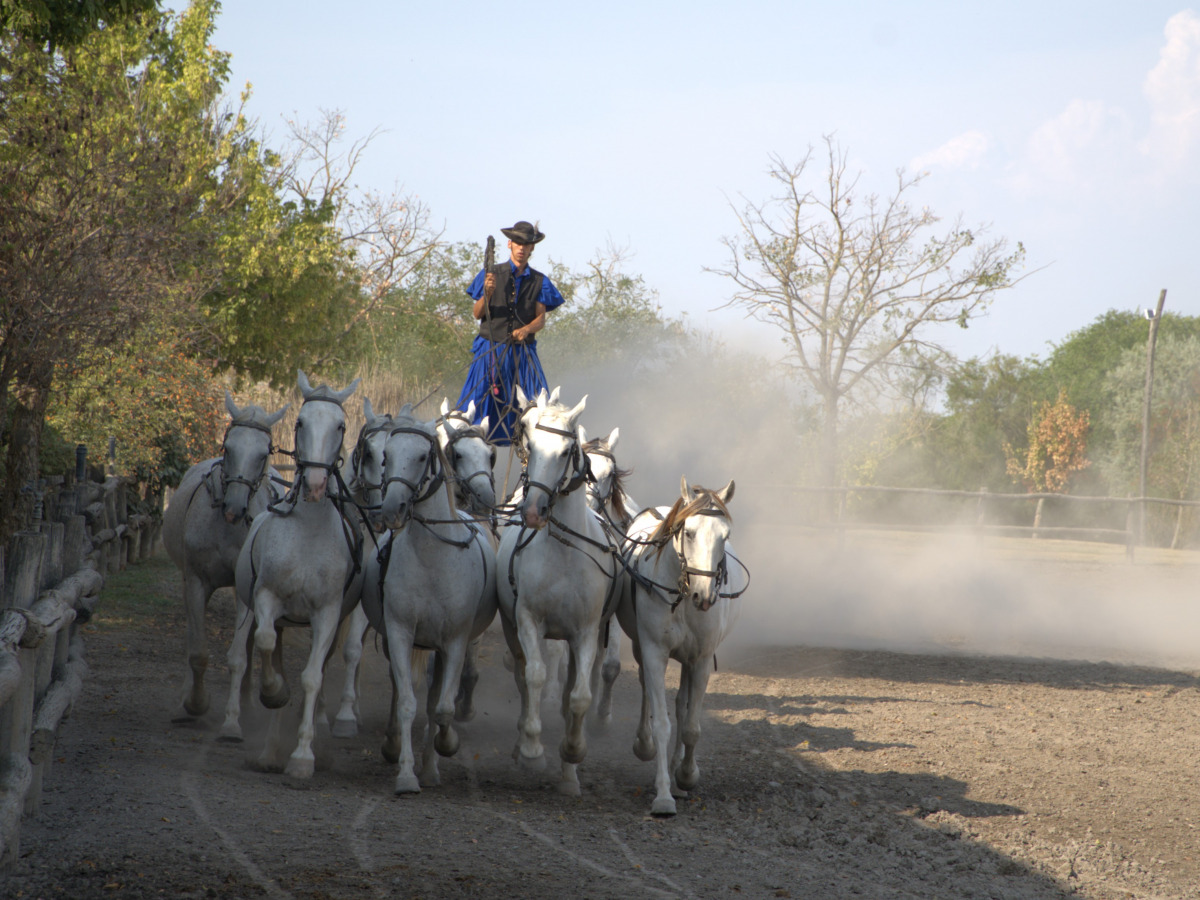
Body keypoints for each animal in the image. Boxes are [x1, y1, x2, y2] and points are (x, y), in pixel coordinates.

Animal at [163, 393, 286, 724]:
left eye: (263, 454)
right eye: (228, 447)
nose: (234, 508)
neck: (225, 527)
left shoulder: (248, 592)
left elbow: (239, 656)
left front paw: (232, 720)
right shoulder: (195, 582)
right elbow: (198, 651)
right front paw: (194, 702)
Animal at [232, 369, 360, 777]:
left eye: (340, 425)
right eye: (300, 422)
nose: (317, 485)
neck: (308, 533)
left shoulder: (328, 614)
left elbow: (312, 678)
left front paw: (303, 756)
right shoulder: (268, 599)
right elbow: (268, 646)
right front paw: (273, 694)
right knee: (273, 652)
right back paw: (269, 748)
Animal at [360, 408, 501, 796]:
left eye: (423, 456)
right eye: (385, 455)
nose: (390, 509)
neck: (432, 558)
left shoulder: (454, 641)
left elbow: (442, 709)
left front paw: (444, 747)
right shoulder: (399, 633)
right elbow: (408, 703)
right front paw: (405, 773)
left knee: (437, 697)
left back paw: (432, 766)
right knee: (403, 691)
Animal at [494, 388, 619, 796]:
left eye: (566, 451)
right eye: (531, 443)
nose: (533, 511)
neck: (564, 552)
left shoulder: (586, 632)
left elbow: (578, 697)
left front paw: (573, 754)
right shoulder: (528, 620)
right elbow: (534, 676)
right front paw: (533, 749)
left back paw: (568, 775)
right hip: (511, 628)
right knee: (523, 676)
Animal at [614, 480, 744, 816]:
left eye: (725, 536)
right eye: (690, 532)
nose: (705, 595)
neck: (683, 596)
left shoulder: (701, 659)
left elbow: (690, 726)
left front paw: (685, 775)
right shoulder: (653, 652)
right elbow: (662, 723)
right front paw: (662, 796)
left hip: (688, 660)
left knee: (682, 704)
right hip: (641, 648)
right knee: (647, 689)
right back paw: (644, 745)